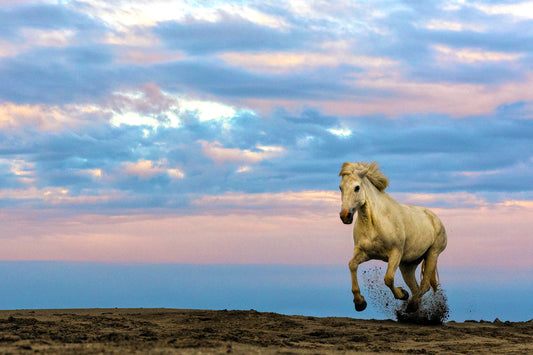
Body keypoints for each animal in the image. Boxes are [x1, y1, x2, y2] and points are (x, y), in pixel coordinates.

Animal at [338, 163, 446, 312]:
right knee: (416, 288)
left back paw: (411, 305)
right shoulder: (364, 253)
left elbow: (388, 278)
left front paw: (402, 294)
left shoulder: (395, 253)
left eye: (357, 187)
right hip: (407, 265)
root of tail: (435, 218)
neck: (374, 224)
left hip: (432, 254)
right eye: (340, 187)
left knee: (424, 286)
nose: (345, 216)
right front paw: (360, 302)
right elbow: (352, 265)